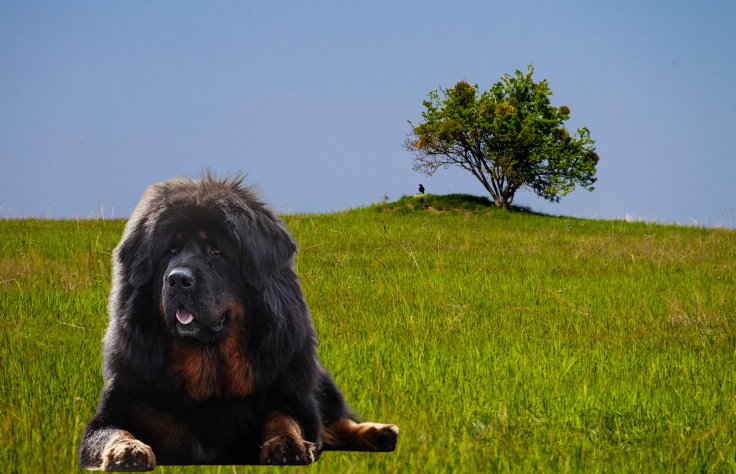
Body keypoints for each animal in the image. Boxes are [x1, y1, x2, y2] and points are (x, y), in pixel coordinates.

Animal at [79, 175, 396, 470]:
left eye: (216, 251)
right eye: (170, 251)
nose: (178, 279)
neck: (208, 366)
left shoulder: (292, 395)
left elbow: (285, 418)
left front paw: (287, 444)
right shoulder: (119, 406)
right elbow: (111, 432)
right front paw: (127, 450)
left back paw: (381, 432)